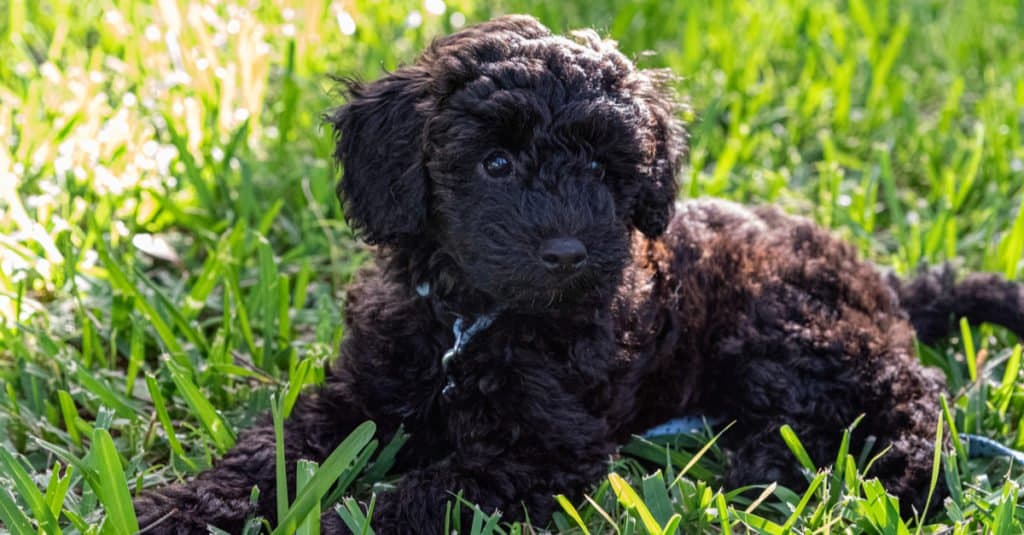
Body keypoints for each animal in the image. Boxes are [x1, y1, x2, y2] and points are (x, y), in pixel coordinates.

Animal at [136, 14, 1024, 528]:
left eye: (602, 170)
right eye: (494, 163)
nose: (566, 252)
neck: (470, 320)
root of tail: (881, 279)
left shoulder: (546, 450)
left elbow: (418, 495)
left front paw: (336, 517)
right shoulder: (363, 391)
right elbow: (276, 448)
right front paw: (181, 505)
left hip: (793, 327)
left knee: (912, 397)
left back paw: (884, 477)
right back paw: (769, 467)